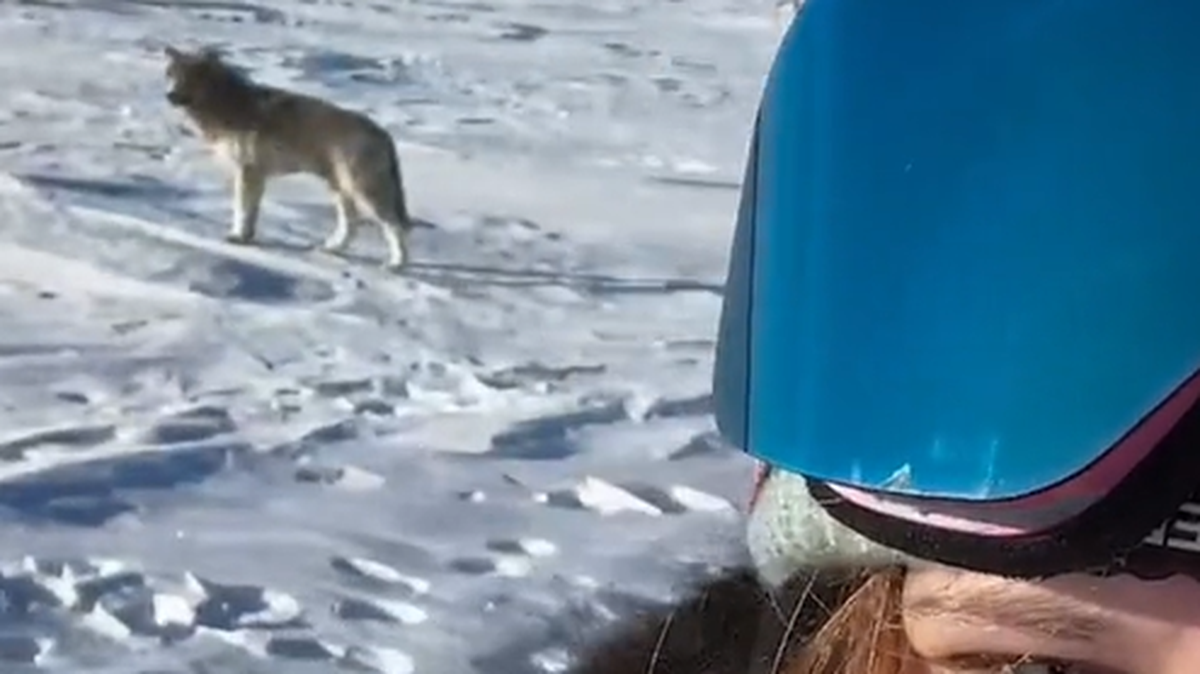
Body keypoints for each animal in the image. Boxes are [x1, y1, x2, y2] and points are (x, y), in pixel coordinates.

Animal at [164, 45, 414, 270]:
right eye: (171, 75)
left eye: (189, 77)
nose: (169, 96)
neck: (227, 103)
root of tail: (383, 134)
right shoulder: (256, 175)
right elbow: (251, 212)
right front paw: (247, 238)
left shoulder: (248, 171)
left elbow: (240, 209)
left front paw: (237, 237)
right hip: (340, 190)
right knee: (351, 225)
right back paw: (332, 249)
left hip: (364, 192)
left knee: (394, 226)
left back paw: (396, 264)